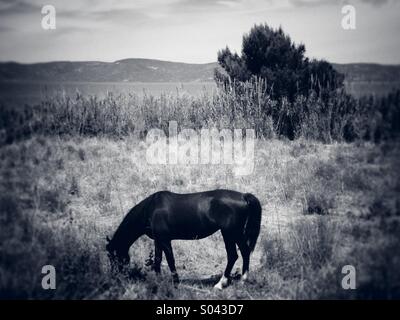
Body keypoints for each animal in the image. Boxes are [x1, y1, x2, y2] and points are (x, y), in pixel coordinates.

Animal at [106, 189, 262, 288]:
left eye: (112, 256)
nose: (115, 277)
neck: (150, 209)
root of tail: (243, 196)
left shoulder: (165, 240)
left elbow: (170, 260)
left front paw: (175, 282)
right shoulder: (158, 240)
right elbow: (157, 260)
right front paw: (158, 281)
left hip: (230, 233)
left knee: (233, 255)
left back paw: (221, 284)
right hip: (234, 234)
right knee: (244, 253)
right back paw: (242, 281)